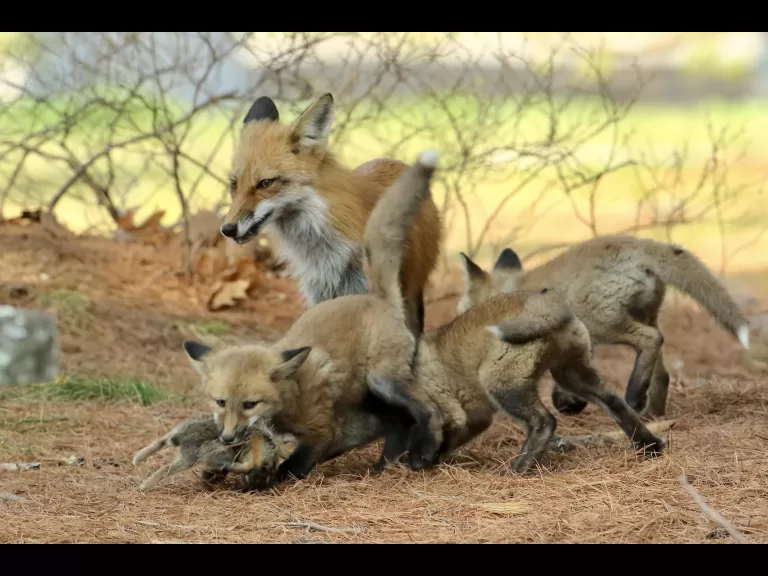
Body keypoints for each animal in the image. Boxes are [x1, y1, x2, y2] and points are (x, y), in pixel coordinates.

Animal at [131, 414, 292, 491]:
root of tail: (183, 438)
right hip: (189, 459)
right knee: (166, 468)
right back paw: (144, 486)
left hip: (182, 436)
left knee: (161, 441)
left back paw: (137, 459)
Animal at [183, 150, 446, 489]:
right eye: (220, 402)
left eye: (250, 404)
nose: (227, 437)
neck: (291, 392)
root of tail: (378, 297)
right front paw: (217, 468)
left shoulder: (321, 431)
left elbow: (291, 465)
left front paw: (261, 478)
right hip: (373, 396)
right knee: (398, 424)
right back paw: (383, 465)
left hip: (384, 381)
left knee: (429, 411)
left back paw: (423, 453)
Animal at [219, 92, 442, 337]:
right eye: (234, 183)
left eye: (265, 183)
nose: (227, 229)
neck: (323, 253)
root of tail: (395, 162)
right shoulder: (320, 296)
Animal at [457, 235, 751, 419]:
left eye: (463, 311)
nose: (459, 324)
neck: (512, 289)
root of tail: (641, 244)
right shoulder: (577, 342)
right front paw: (570, 402)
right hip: (643, 316)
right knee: (662, 371)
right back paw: (652, 412)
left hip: (602, 323)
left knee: (652, 339)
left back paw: (634, 396)